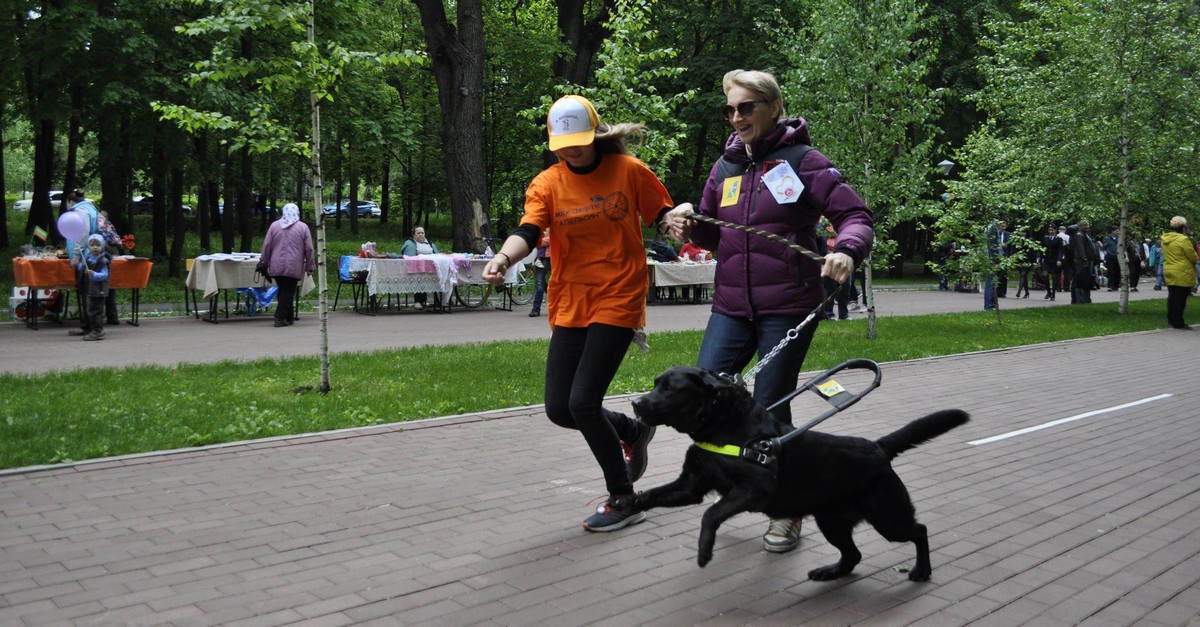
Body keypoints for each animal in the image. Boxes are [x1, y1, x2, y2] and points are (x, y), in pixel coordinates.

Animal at [633, 362, 969, 578]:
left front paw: (704, 551)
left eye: (670, 388)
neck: (725, 428)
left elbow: (711, 514)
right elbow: (653, 494)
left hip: (888, 517)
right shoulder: (691, 485)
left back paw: (921, 571)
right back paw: (829, 572)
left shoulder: (755, 489)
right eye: (655, 383)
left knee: (919, 531)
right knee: (853, 555)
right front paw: (629, 502)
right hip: (831, 520)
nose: (636, 403)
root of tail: (878, 447)